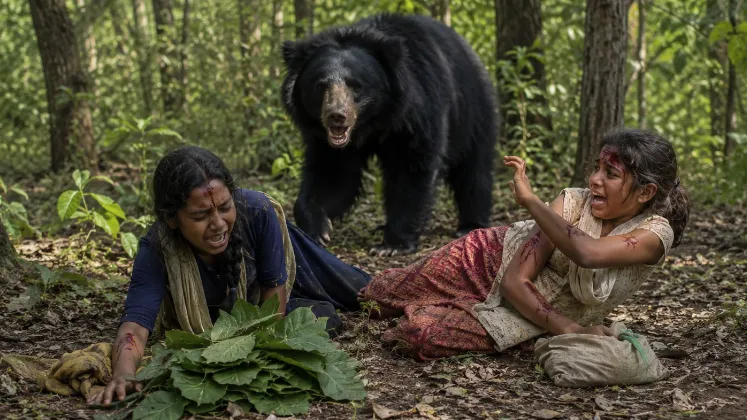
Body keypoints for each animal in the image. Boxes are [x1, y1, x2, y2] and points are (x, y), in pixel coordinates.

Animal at [280, 13, 499, 256]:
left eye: (356, 86)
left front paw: (392, 245)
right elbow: (332, 173)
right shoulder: (325, 140)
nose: (337, 116)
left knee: (473, 168)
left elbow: (411, 168)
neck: (374, 123)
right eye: (320, 85)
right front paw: (318, 228)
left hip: (473, 110)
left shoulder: (417, 113)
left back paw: (469, 225)